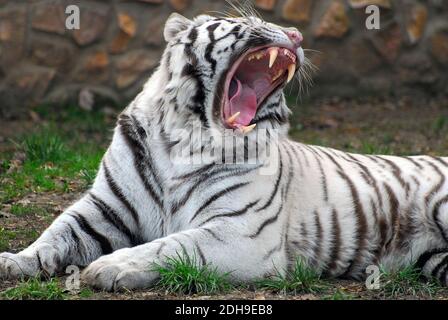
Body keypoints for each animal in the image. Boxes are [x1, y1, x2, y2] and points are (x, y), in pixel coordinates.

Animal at [0, 12, 448, 290]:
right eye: (248, 22)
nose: (298, 36)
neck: (182, 141)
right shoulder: (104, 208)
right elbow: (55, 232)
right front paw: (14, 261)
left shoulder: (240, 230)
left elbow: (172, 245)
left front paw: (112, 266)